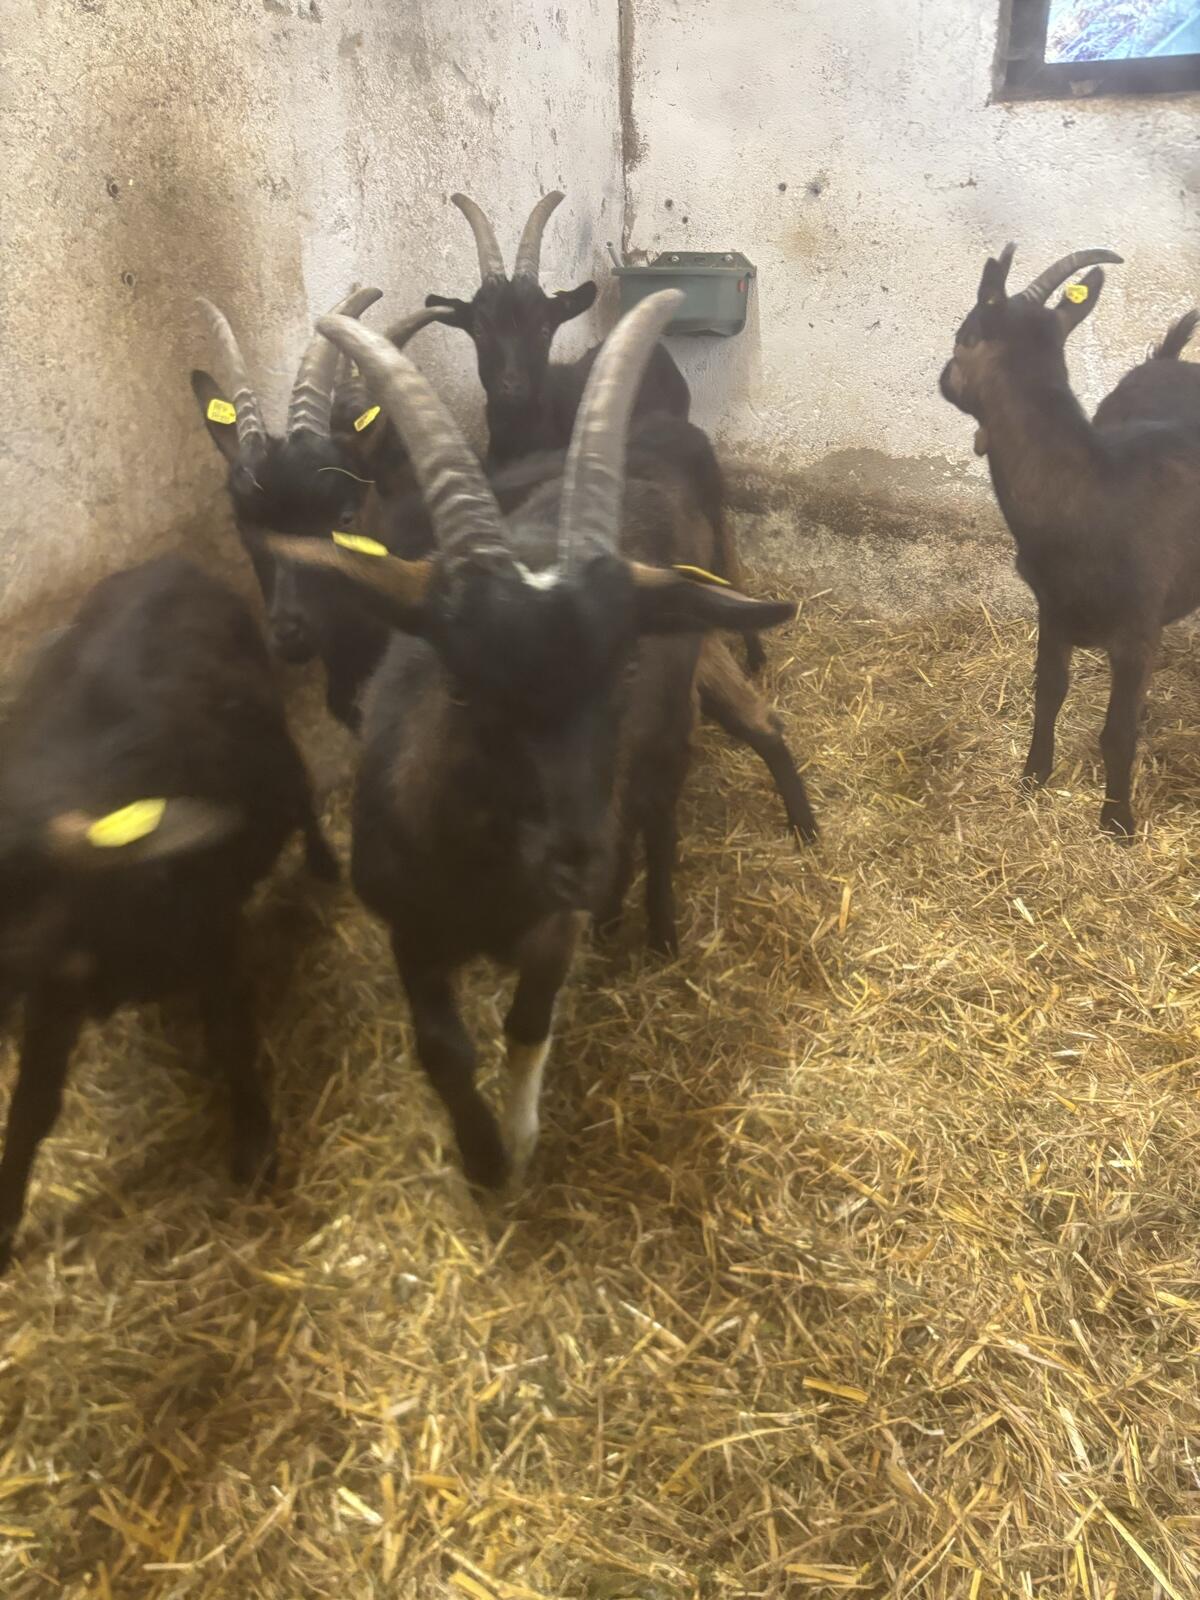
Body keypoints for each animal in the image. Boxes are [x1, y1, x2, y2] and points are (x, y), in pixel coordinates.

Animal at [0, 556, 335, 1271]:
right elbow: (33, 1106)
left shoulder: (214, 941)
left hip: (278, 745)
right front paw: (6, 1221)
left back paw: (325, 865)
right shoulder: (53, 999)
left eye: (20, 889)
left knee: (300, 792)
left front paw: (255, 1142)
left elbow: (232, 1038)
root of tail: (165, 565)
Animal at [270, 290, 796, 1187]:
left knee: (657, 815)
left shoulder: (551, 932)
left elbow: (527, 1022)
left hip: (667, 734)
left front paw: (516, 1144)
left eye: (622, 667)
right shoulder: (410, 930)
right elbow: (441, 1050)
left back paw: (655, 923)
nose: (574, 861)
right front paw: (480, 1159)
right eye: (459, 683)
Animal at [939, 243, 1200, 836]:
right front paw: (1033, 776)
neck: (1095, 495)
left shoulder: (1135, 631)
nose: (943, 377)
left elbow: (1117, 731)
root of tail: (1172, 359)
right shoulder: (1053, 609)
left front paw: (1118, 820)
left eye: (964, 334)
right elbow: (1049, 693)